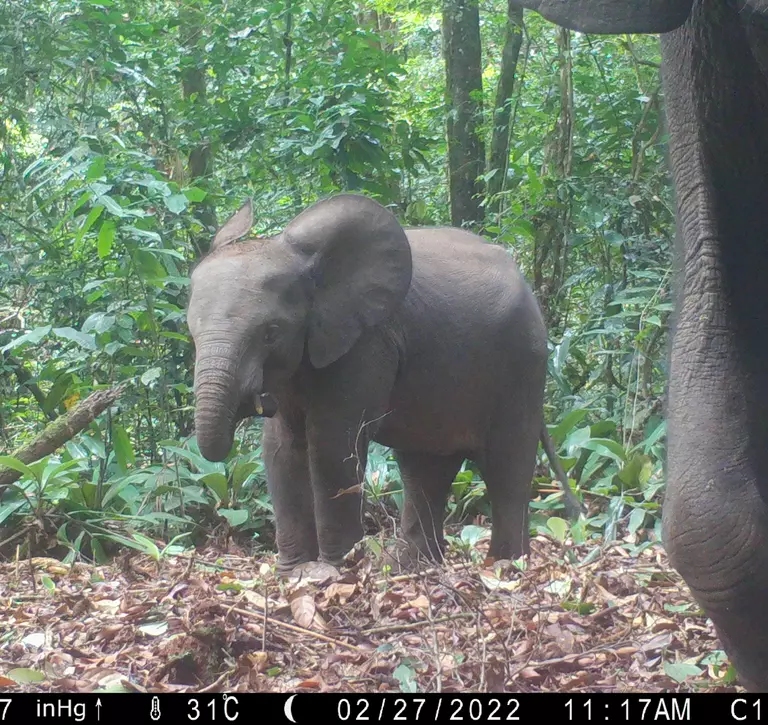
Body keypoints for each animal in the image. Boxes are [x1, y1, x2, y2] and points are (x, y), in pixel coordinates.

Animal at [187, 194, 581, 576]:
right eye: (191, 331)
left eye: (271, 333)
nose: (256, 401)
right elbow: (280, 447)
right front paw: (293, 574)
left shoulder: (368, 343)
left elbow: (331, 443)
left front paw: (335, 571)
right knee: (425, 468)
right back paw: (415, 568)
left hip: (521, 366)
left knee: (505, 466)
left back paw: (504, 567)